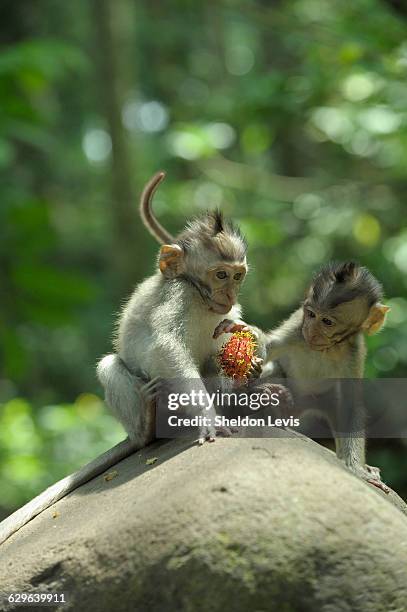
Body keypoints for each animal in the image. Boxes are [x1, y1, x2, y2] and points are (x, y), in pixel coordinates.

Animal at [217, 262, 392, 492]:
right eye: (310, 314)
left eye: (327, 321)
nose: (311, 330)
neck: (325, 348)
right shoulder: (297, 325)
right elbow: (270, 348)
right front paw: (251, 335)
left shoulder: (354, 352)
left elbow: (351, 404)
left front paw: (357, 468)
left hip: (323, 399)